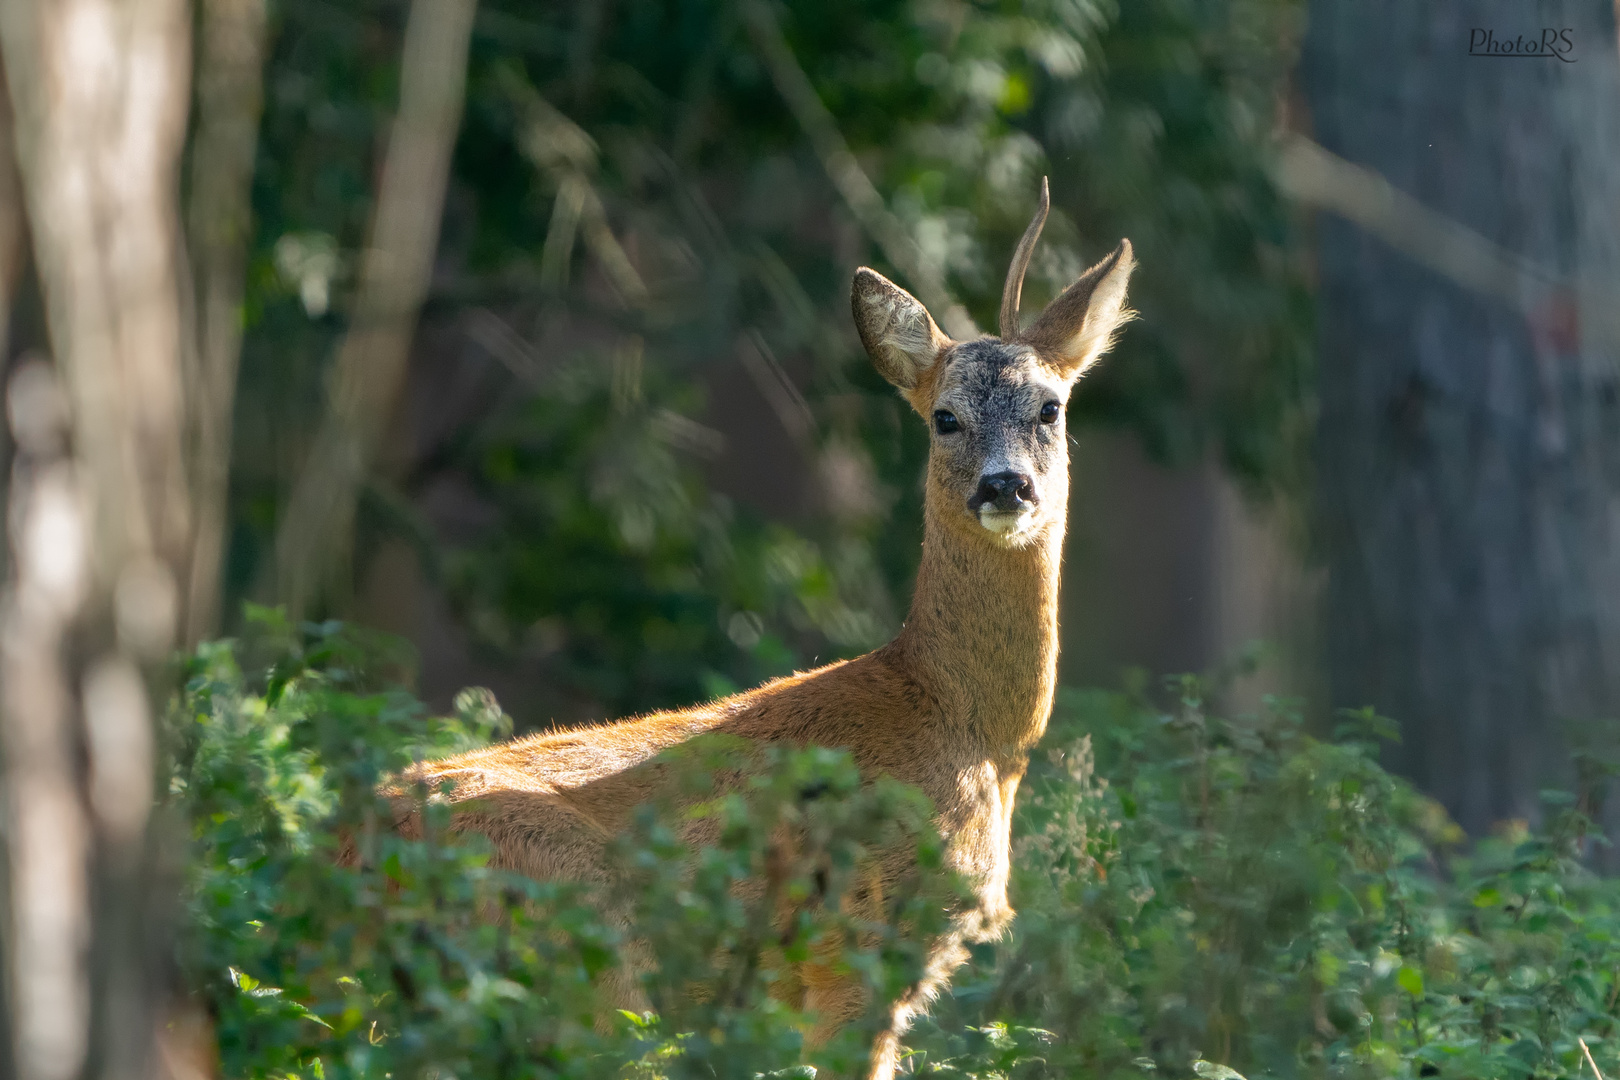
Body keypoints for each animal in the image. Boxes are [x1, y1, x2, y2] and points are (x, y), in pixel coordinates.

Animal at [392, 181, 1134, 1075]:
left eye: (1050, 408)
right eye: (945, 418)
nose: (1005, 486)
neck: (968, 730)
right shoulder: (854, 947)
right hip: (594, 962)